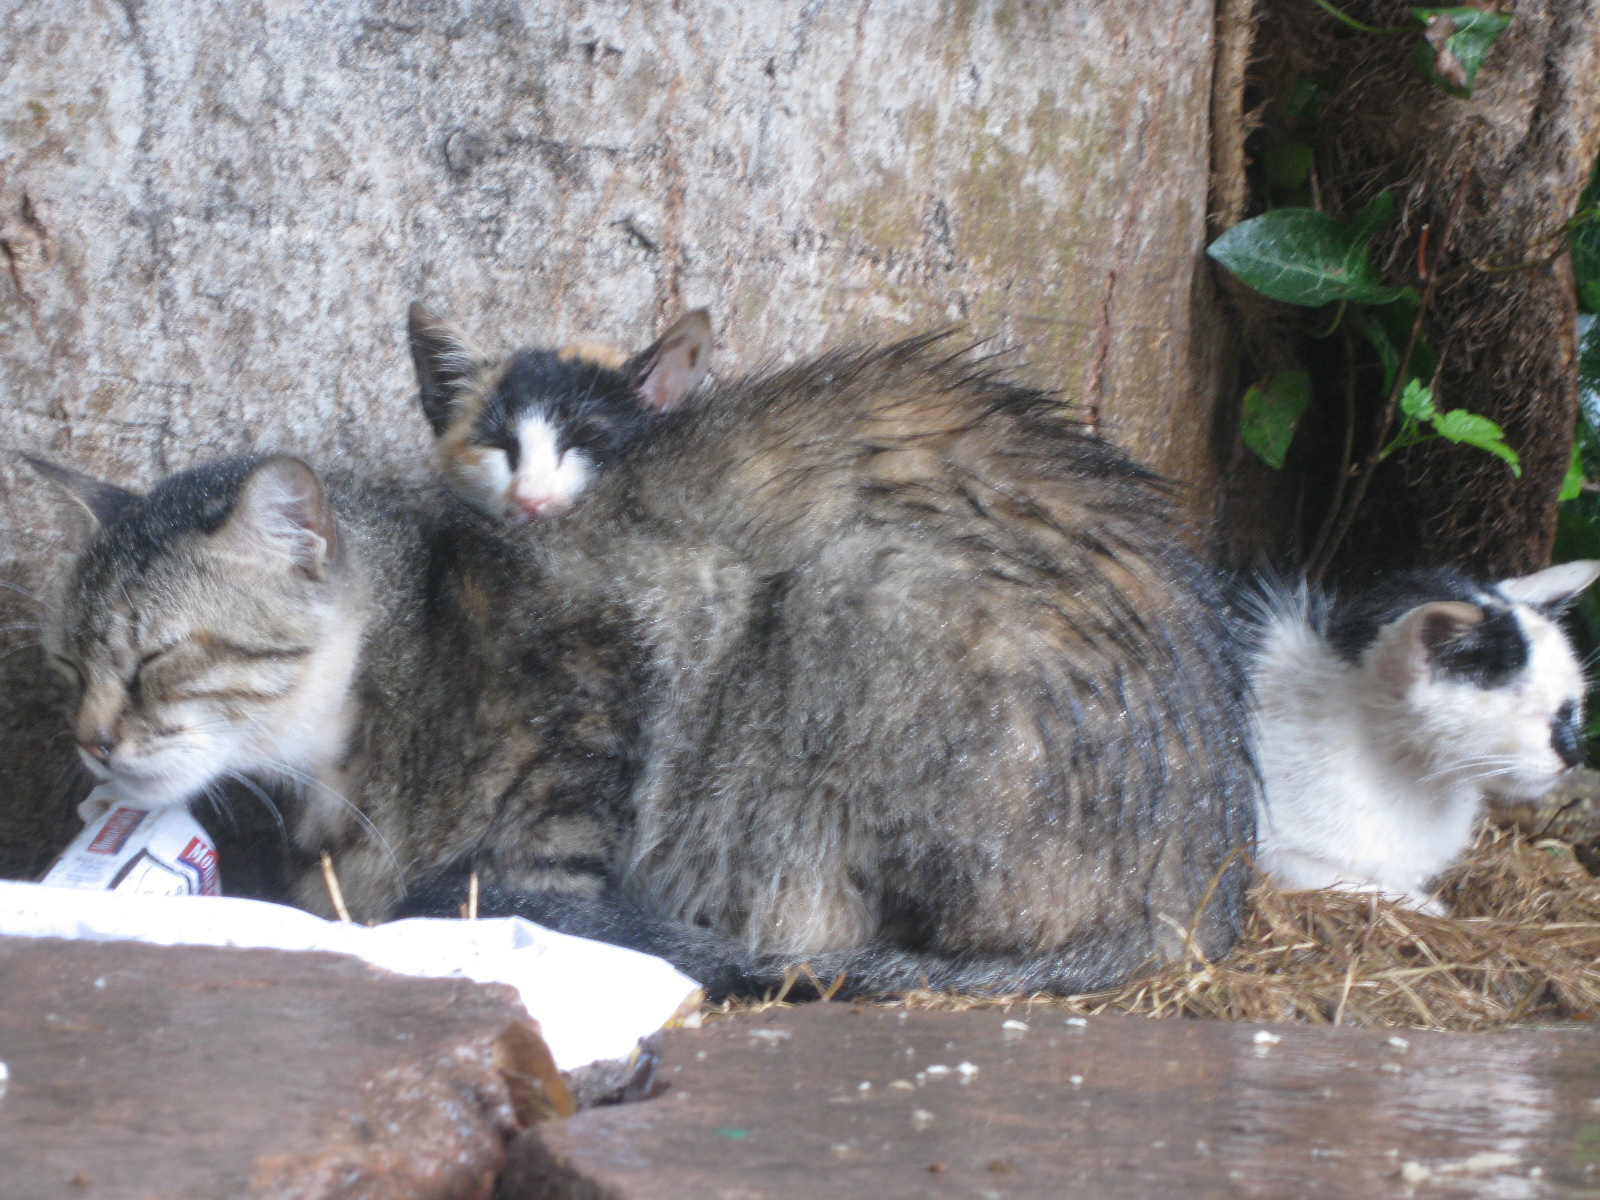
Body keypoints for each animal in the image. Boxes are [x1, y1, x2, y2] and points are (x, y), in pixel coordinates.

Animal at [1248, 563, 1600, 908]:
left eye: (1572, 706)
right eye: (1530, 710)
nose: (1576, 752)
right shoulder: (1267, 850)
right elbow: (1346, 880)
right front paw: (1427, 905)